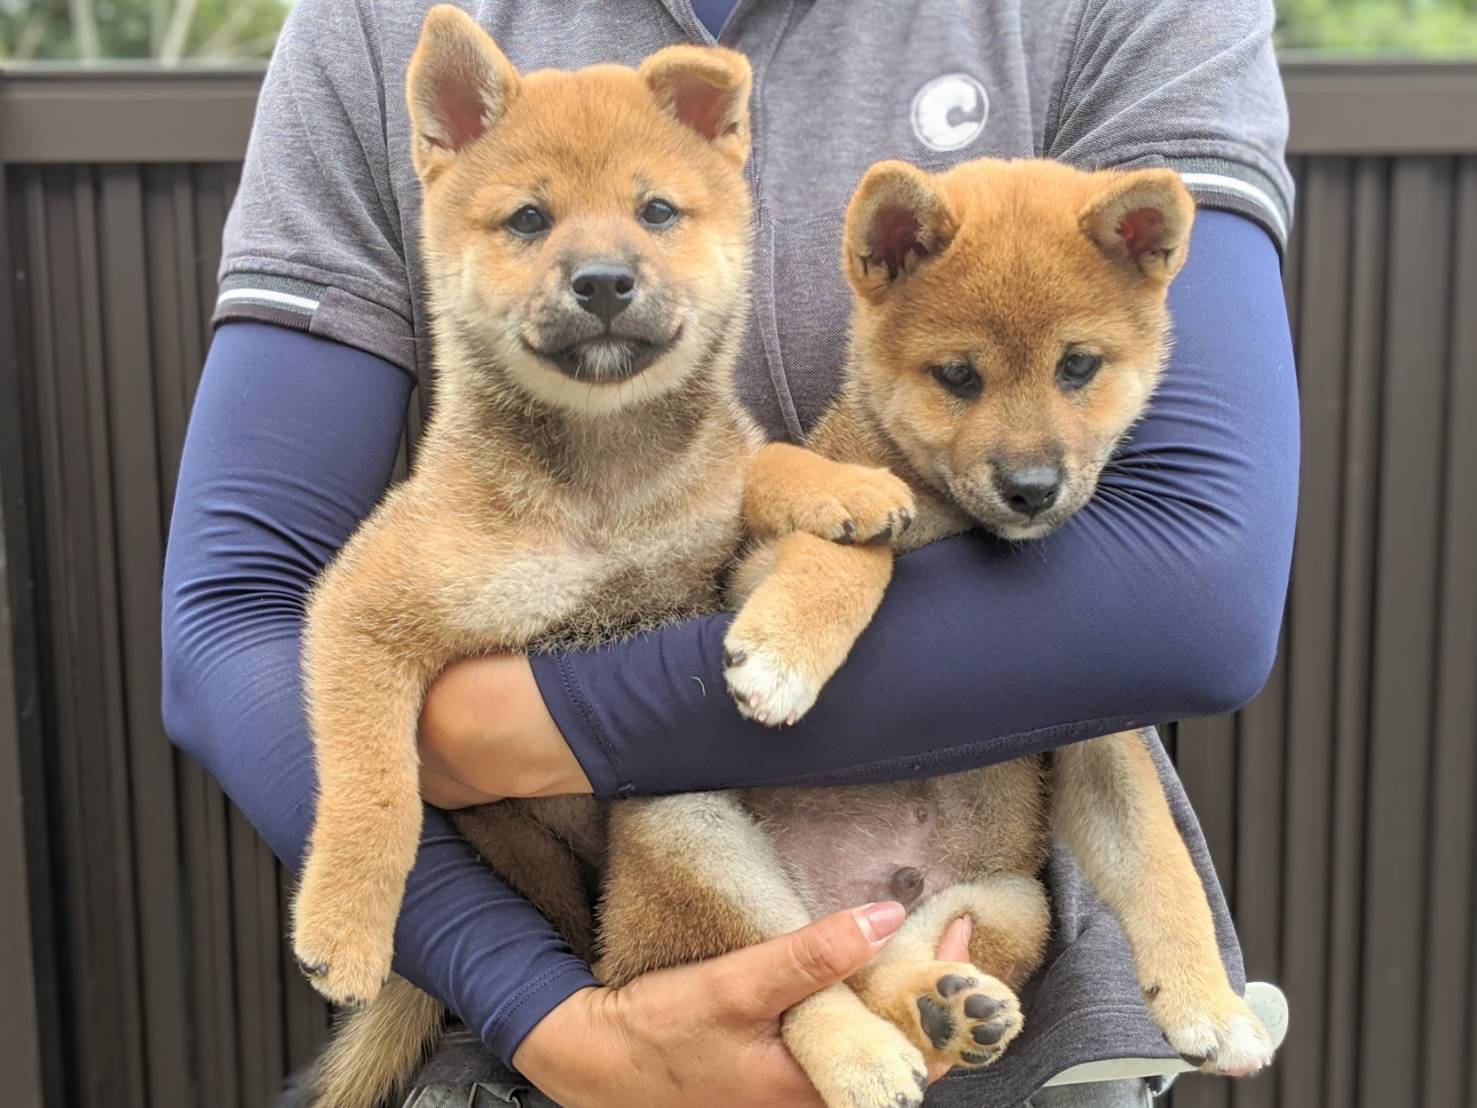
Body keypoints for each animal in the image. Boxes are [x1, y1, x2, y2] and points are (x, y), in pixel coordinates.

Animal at [593, 158, 1276, 1108]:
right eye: (958, 375)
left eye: (1077, 366)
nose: (1031, 487)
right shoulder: (750, 573)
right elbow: (860, 550)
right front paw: (788, 651)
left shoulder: (1097, 736)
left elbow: (1160, 863)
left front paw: (1208, 1002)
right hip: (686, 832)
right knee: (794, 983)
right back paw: (861, 1058)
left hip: (1006, 900)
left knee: (871, 967)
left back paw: (942, 1010)